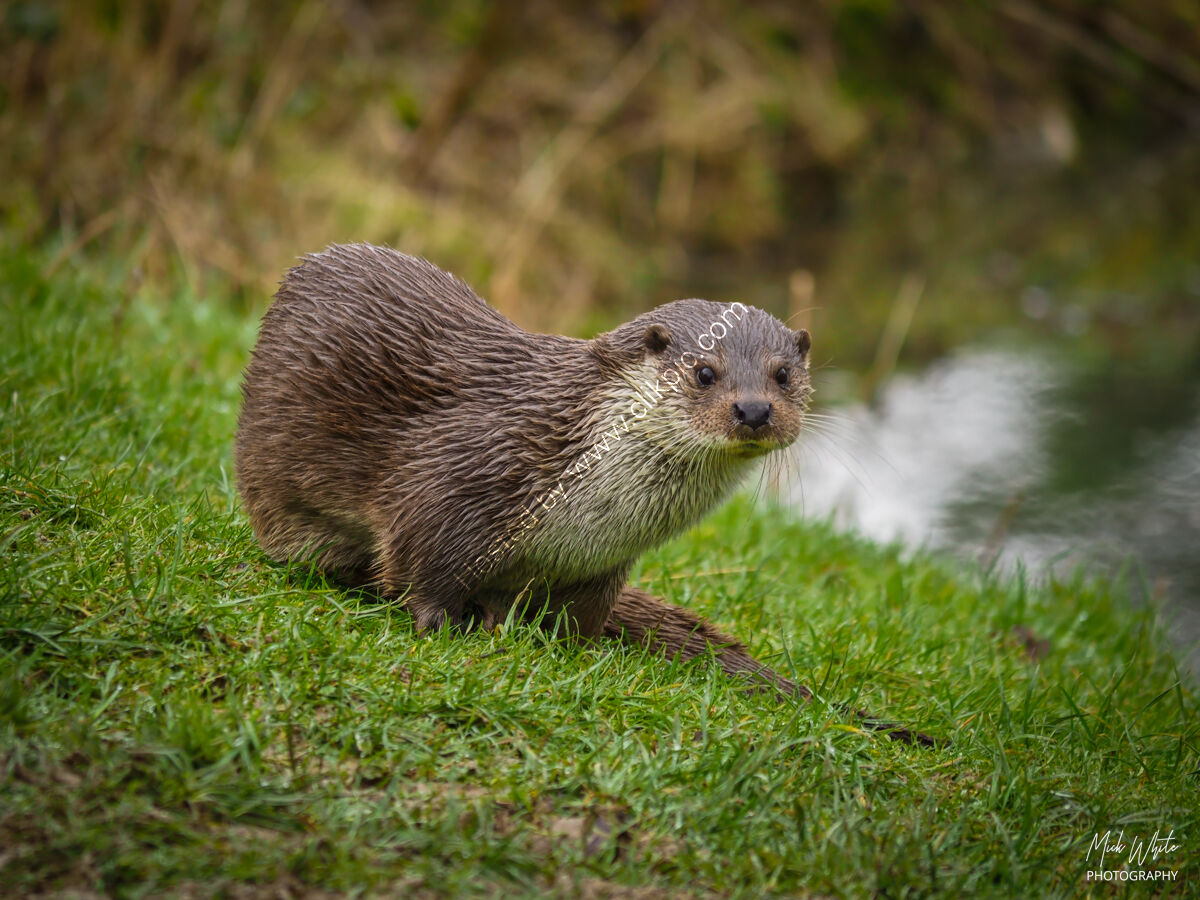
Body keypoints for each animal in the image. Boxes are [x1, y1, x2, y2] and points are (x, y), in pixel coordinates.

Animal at [236, 243, 935, 746]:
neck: (590, 506)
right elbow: (422, 559)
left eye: (783, 374)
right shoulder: (459, 478)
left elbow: (582, 620)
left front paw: (572, 652)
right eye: (705, 372)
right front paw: (442, 627)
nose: (756, 409)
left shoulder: (603, 563)